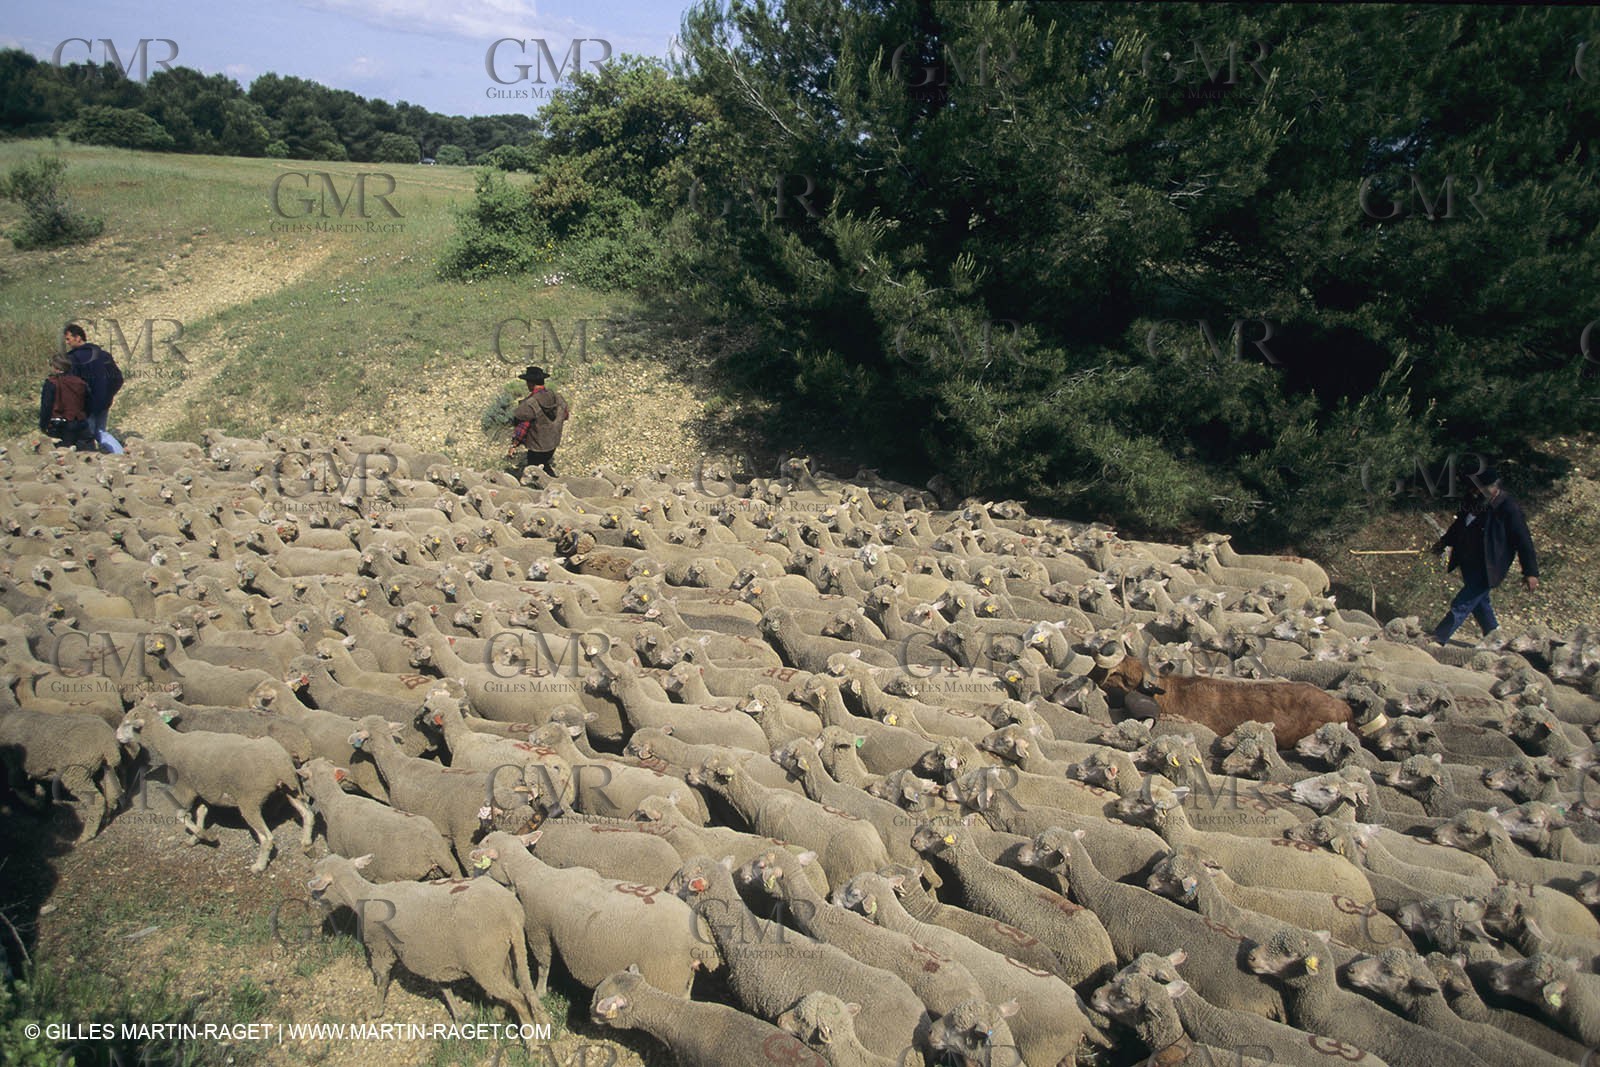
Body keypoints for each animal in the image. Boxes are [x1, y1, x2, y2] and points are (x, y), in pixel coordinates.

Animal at [115, 704, 312, 871]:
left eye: (128, 723)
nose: (117, 737)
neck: (171, 744)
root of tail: (280, 766)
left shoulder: (185, 788)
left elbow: (181, 815)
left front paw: (207, 837)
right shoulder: (204, 789)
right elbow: (201, 813)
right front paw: (195, 838)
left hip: (250, 800)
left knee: (267, 837)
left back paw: (259, 866)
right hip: (291, 789)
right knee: (307, 813)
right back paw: (307, 844)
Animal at [306, 853, 542, 1032]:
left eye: (319, 883)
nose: (314, 898)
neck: (366, 895)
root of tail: (511, 913)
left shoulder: (380, 945)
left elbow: (382, 978)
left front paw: (376, 1010)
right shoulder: (432, 955)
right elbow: (443, 987)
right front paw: (459, 1016)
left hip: (483, 964)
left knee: (519, 998)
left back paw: (532, 1043)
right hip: (501, 954)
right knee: (512, 985)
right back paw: (500, 1013)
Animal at [468, 830, 719, 997]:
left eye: (481, 851)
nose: (470, 874)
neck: (532, 873)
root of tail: (696, 942)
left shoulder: (537, 928)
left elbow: (543, 963)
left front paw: (539, 992)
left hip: (665, 976)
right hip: (683, 978)